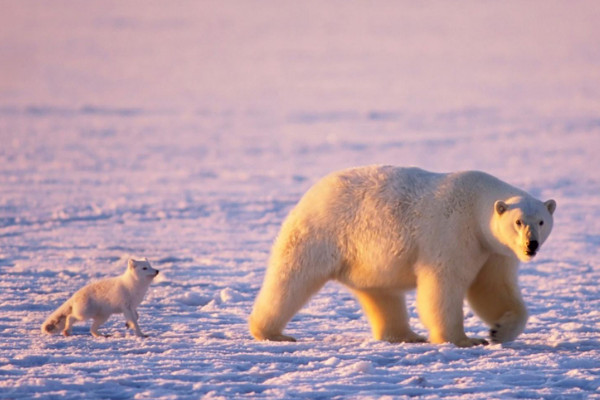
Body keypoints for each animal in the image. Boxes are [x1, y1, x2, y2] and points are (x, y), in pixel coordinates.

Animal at [248, 166, 556, 346]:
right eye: (518, 221)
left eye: (541, 221)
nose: (531, 245)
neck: (477, 202)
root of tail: (311, 193)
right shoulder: (453, 232)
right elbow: (444, 285)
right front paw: (463, 340)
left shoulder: (493, 250)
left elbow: (492, 288)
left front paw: (498, 330)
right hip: (323, 232)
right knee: (292, 278)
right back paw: (272, 332)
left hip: (366, 259)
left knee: (381, 294)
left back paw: (406, 335)